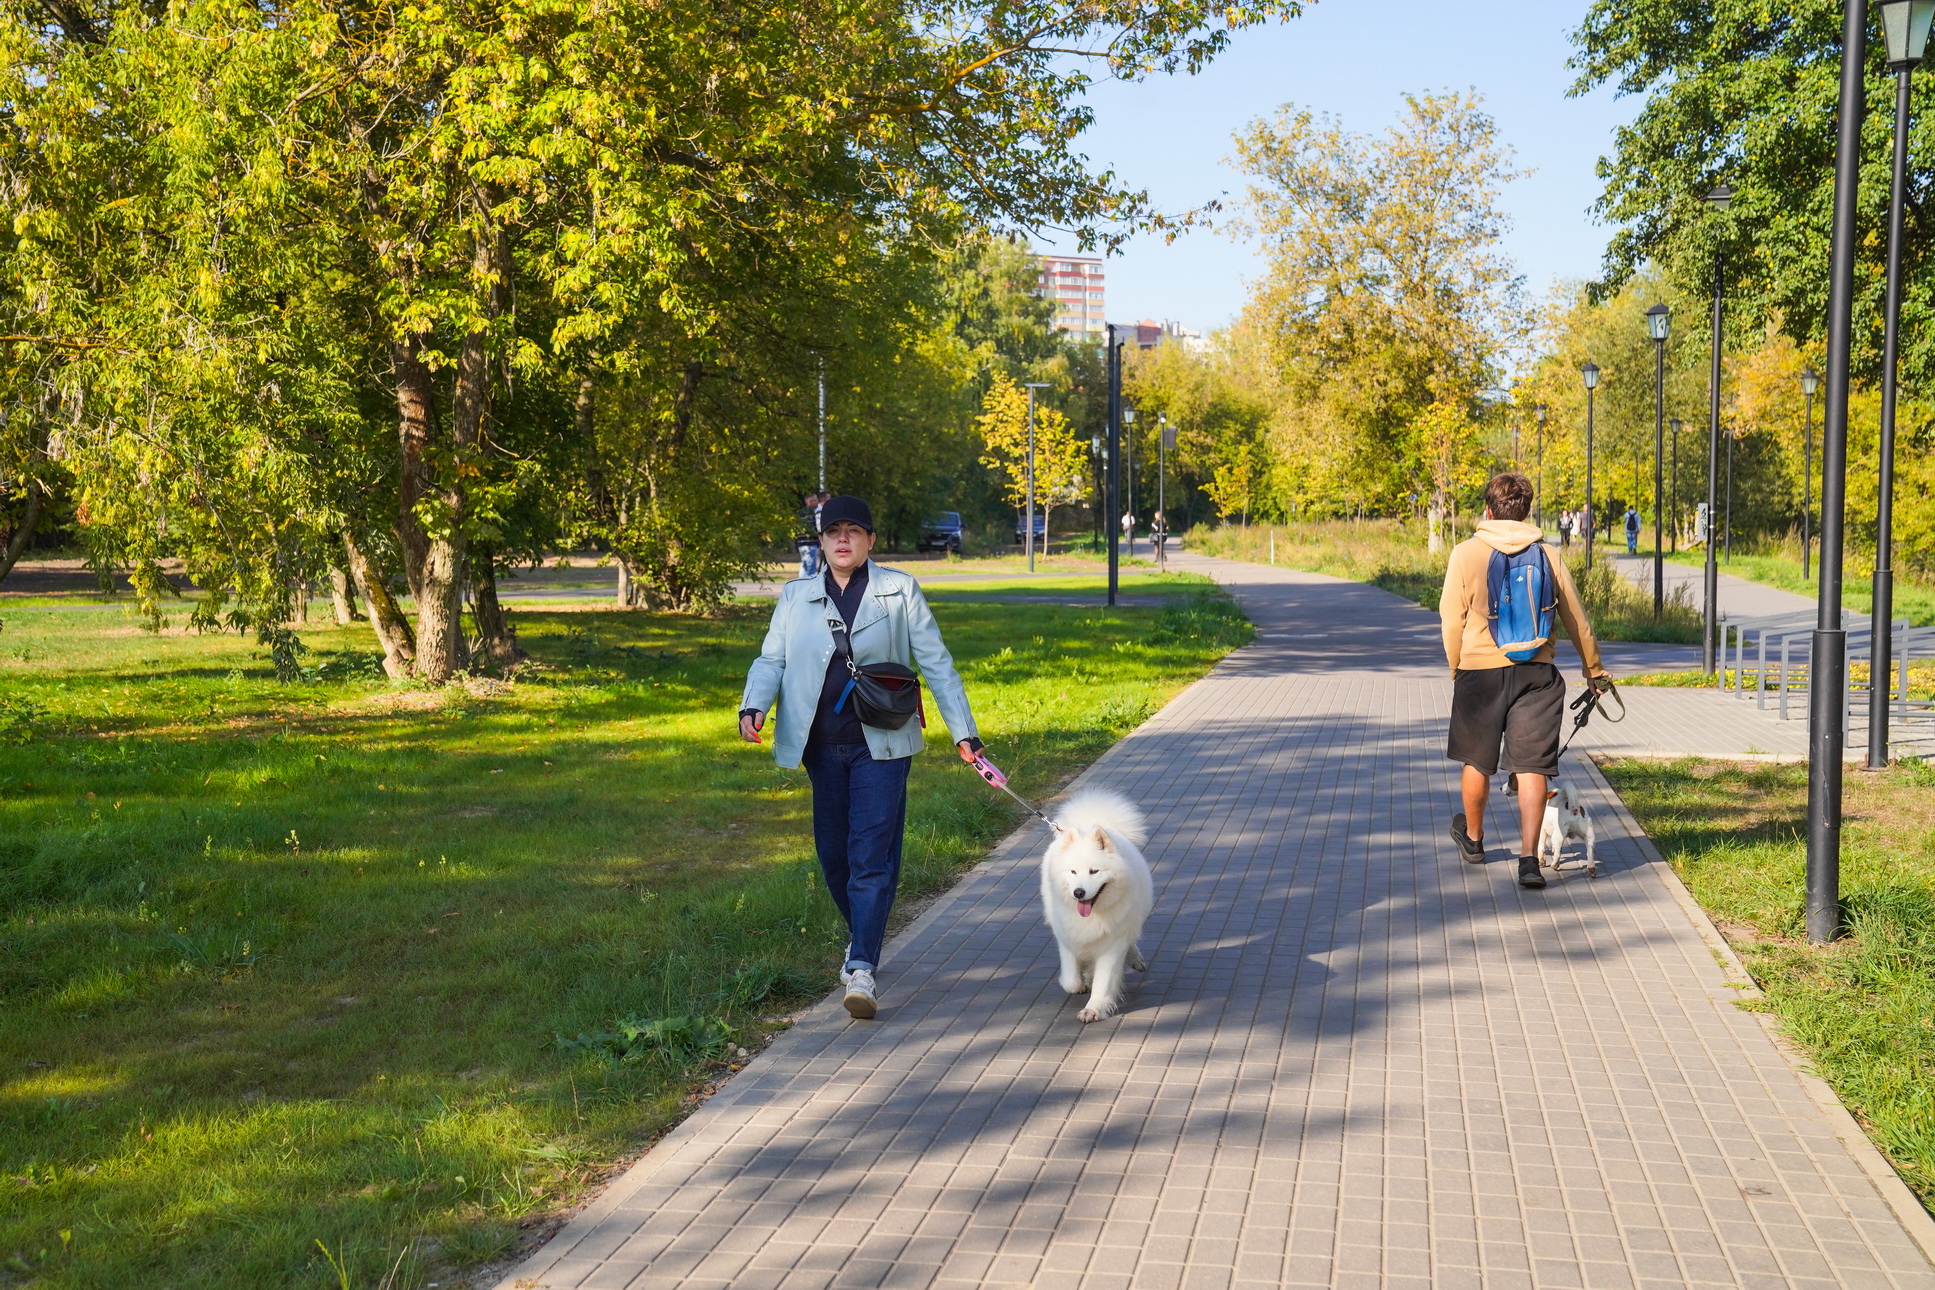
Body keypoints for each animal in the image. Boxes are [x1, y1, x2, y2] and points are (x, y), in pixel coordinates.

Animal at [1044, 781, 1145, 1021]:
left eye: (1094, 871)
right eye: (1073, 872)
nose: (1079, 893)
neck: (1092, 916)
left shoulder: (1112, 943)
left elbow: (1104, 980)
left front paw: (1094, 1008)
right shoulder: (1067, 938)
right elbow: (1071, 980)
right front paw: (1080, 983)